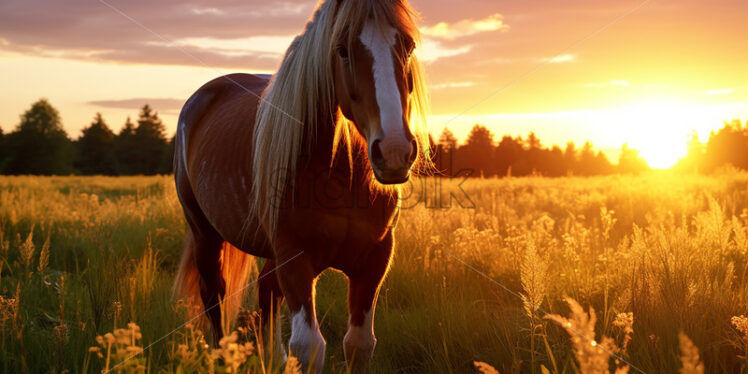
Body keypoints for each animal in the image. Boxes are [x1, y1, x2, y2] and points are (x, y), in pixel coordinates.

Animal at [172, 0, 430, 372]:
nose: (395, 151)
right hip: (205, 233)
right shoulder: (294, 257)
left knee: (266, 292)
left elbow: (359, 344)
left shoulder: (375, 257)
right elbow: (309, 346)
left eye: (407, 46)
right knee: (214, 298)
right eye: (341, 50)